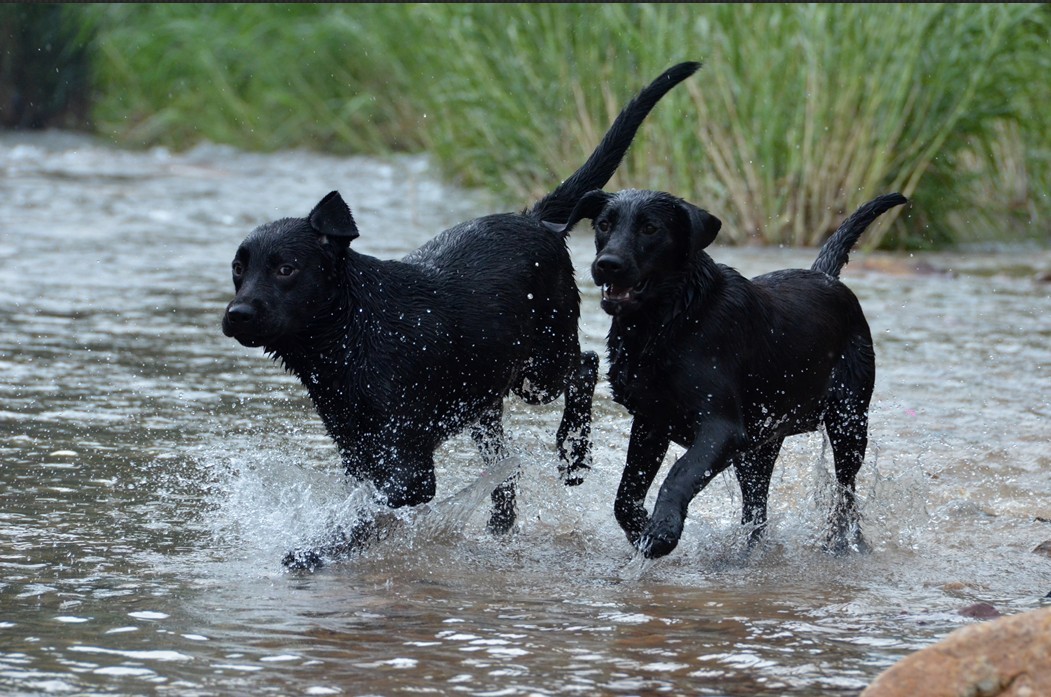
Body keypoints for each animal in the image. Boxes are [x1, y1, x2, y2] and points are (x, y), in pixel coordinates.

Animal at [220, 62, 697, 571]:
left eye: (286, 269)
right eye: (238, 268)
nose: (237, 314)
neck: (351, 335)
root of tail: (537, 219)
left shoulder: (409, 471)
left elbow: (362, 519)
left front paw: (313, 551)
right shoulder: (359, 455)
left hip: (539, 371)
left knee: (584, 366)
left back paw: (573, 454)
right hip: (483, 402)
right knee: (506, 463)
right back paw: (502, 523)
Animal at [554, 188, 908, 559]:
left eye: (650, 228)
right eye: (604, 224)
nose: (607, 264)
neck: (671, 320)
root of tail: (827, 277)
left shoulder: (721, 428)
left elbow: (679, 474)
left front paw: (663, 530)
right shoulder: (651, 422)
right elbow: (625, 494)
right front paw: (640, 527)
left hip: (848, 421)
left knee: (845, 491)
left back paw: (843, 542)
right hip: (759, 447)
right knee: (757, 509)